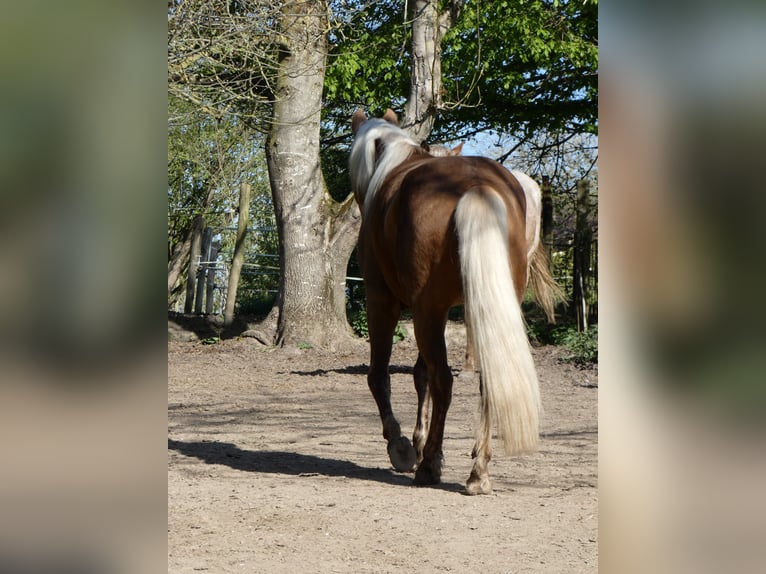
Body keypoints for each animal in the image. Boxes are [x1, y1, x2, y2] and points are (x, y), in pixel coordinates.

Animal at [349, 109, 560, 495]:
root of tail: (476, 186)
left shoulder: (383, 301)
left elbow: (380, 375)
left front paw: (402, 446)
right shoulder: (442, 309)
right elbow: (420, 374)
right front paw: (418, 441)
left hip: (424, 312)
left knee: (443, 381)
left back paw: (429, 466)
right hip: (470, 309)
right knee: (483, 382)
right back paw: (477, 472)